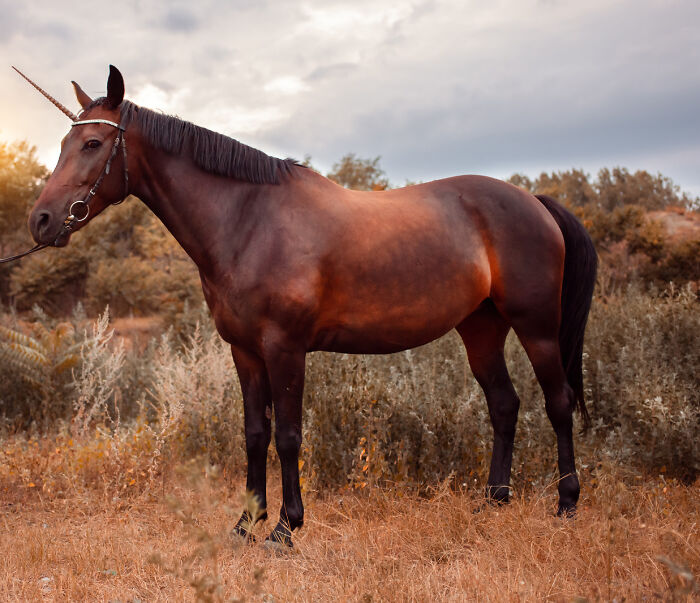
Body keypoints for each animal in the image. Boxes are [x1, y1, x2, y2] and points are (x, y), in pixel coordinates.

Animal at [21, 65, 596, 548]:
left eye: (92, 142)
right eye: (66, 141)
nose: (41, 221)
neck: (249, 221)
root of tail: (534, 202)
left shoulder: (285, 349)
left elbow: (288, 436)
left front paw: (284, 529)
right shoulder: (245, 352)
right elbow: (255, 435)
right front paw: (245, 523)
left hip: (536, 327)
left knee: (558, 402)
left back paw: (567, 505)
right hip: (481, 329)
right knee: (504, 404)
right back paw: (493, 503)